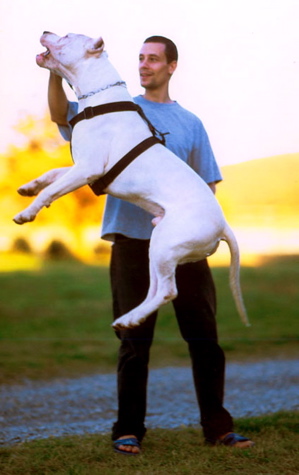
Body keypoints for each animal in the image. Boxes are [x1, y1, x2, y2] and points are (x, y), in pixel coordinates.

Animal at [12, 33, 250, 330]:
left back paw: (131, 318)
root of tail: (224, 225)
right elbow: (52, 175)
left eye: (66, 36)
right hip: (159, 248)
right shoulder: (82, 167)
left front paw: (27, 213)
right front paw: (29, 187)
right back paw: (130, 317)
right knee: (156, 288)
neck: (98, 97)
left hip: (167, 243)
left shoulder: (87, 168)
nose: (45, 31)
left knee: (168, 291)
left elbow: (52, 191)